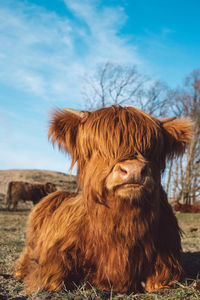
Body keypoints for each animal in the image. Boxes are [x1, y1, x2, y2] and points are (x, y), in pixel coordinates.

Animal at [14, 105, 193, 292]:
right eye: (100, 148)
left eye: (152, 149)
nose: (134, 170)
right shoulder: (52, 261)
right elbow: (52, 279)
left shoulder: (168, 263)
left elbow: (158, 282)